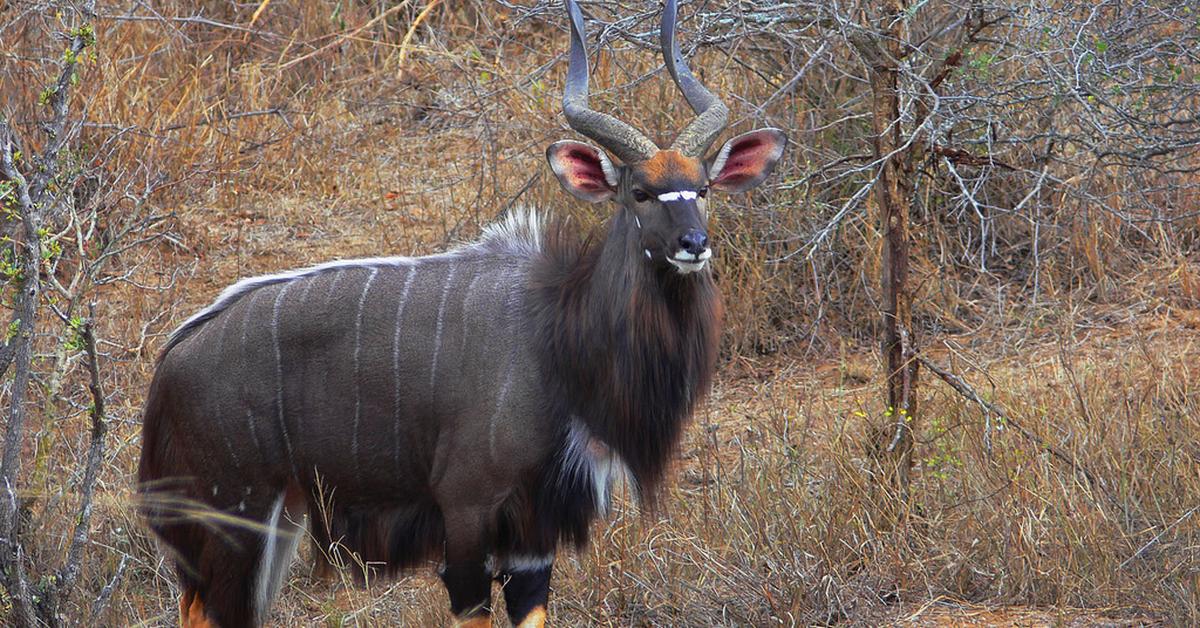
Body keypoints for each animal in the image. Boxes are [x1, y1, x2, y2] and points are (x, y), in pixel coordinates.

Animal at [138, 1, 787, 628]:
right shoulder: (468, 509)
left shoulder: (535, 529)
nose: (693, 244)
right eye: (640, 193)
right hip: (235, 517)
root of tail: (173, 361)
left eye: (703, 188)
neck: (558, 335)